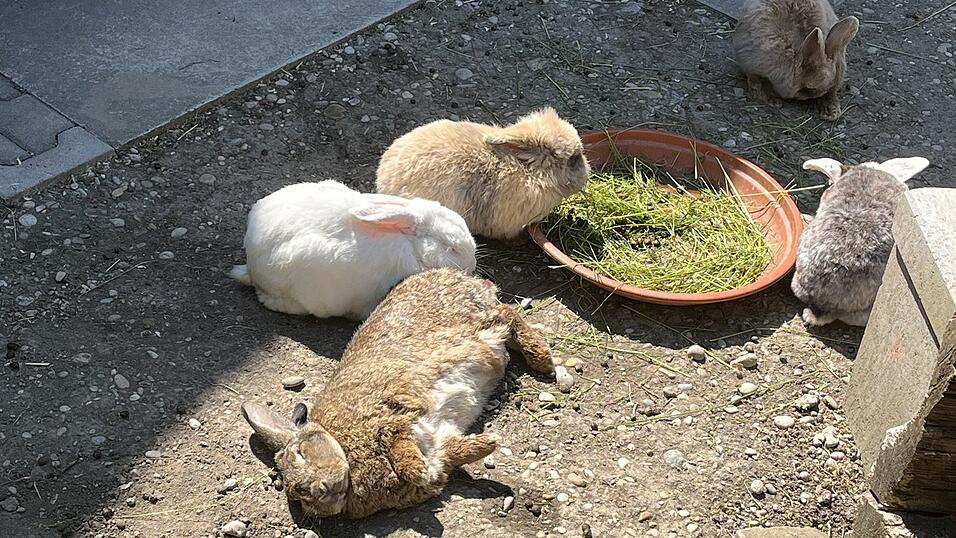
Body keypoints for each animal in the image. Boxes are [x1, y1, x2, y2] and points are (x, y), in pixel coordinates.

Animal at [241, 267, 554, 519]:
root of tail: (457, 275)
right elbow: (452, 453)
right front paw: (486, 445)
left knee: (508, 314)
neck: (345, 452)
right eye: (298, 495)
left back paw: (542, 357)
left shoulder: (389, 418)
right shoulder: (437, 448)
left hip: (476, 323)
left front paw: (418, 470)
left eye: (302, 453)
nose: (320, 491)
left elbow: (402, 452)